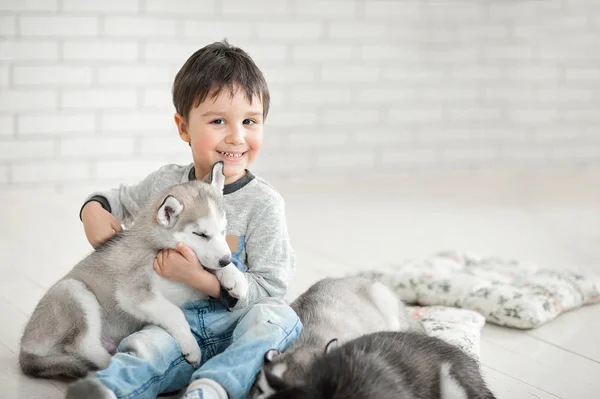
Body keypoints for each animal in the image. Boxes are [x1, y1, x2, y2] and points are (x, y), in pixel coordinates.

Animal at [19, 161, 247, 380]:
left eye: (223, 231)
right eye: (200, 234)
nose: (225, 260)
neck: (157, 247)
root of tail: (24, 349)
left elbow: (207, 268)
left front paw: (235, 278)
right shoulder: (132, 292)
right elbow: (174, 312)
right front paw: (191, 347)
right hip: (74, 291)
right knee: (81, 346)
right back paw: (108, 363)